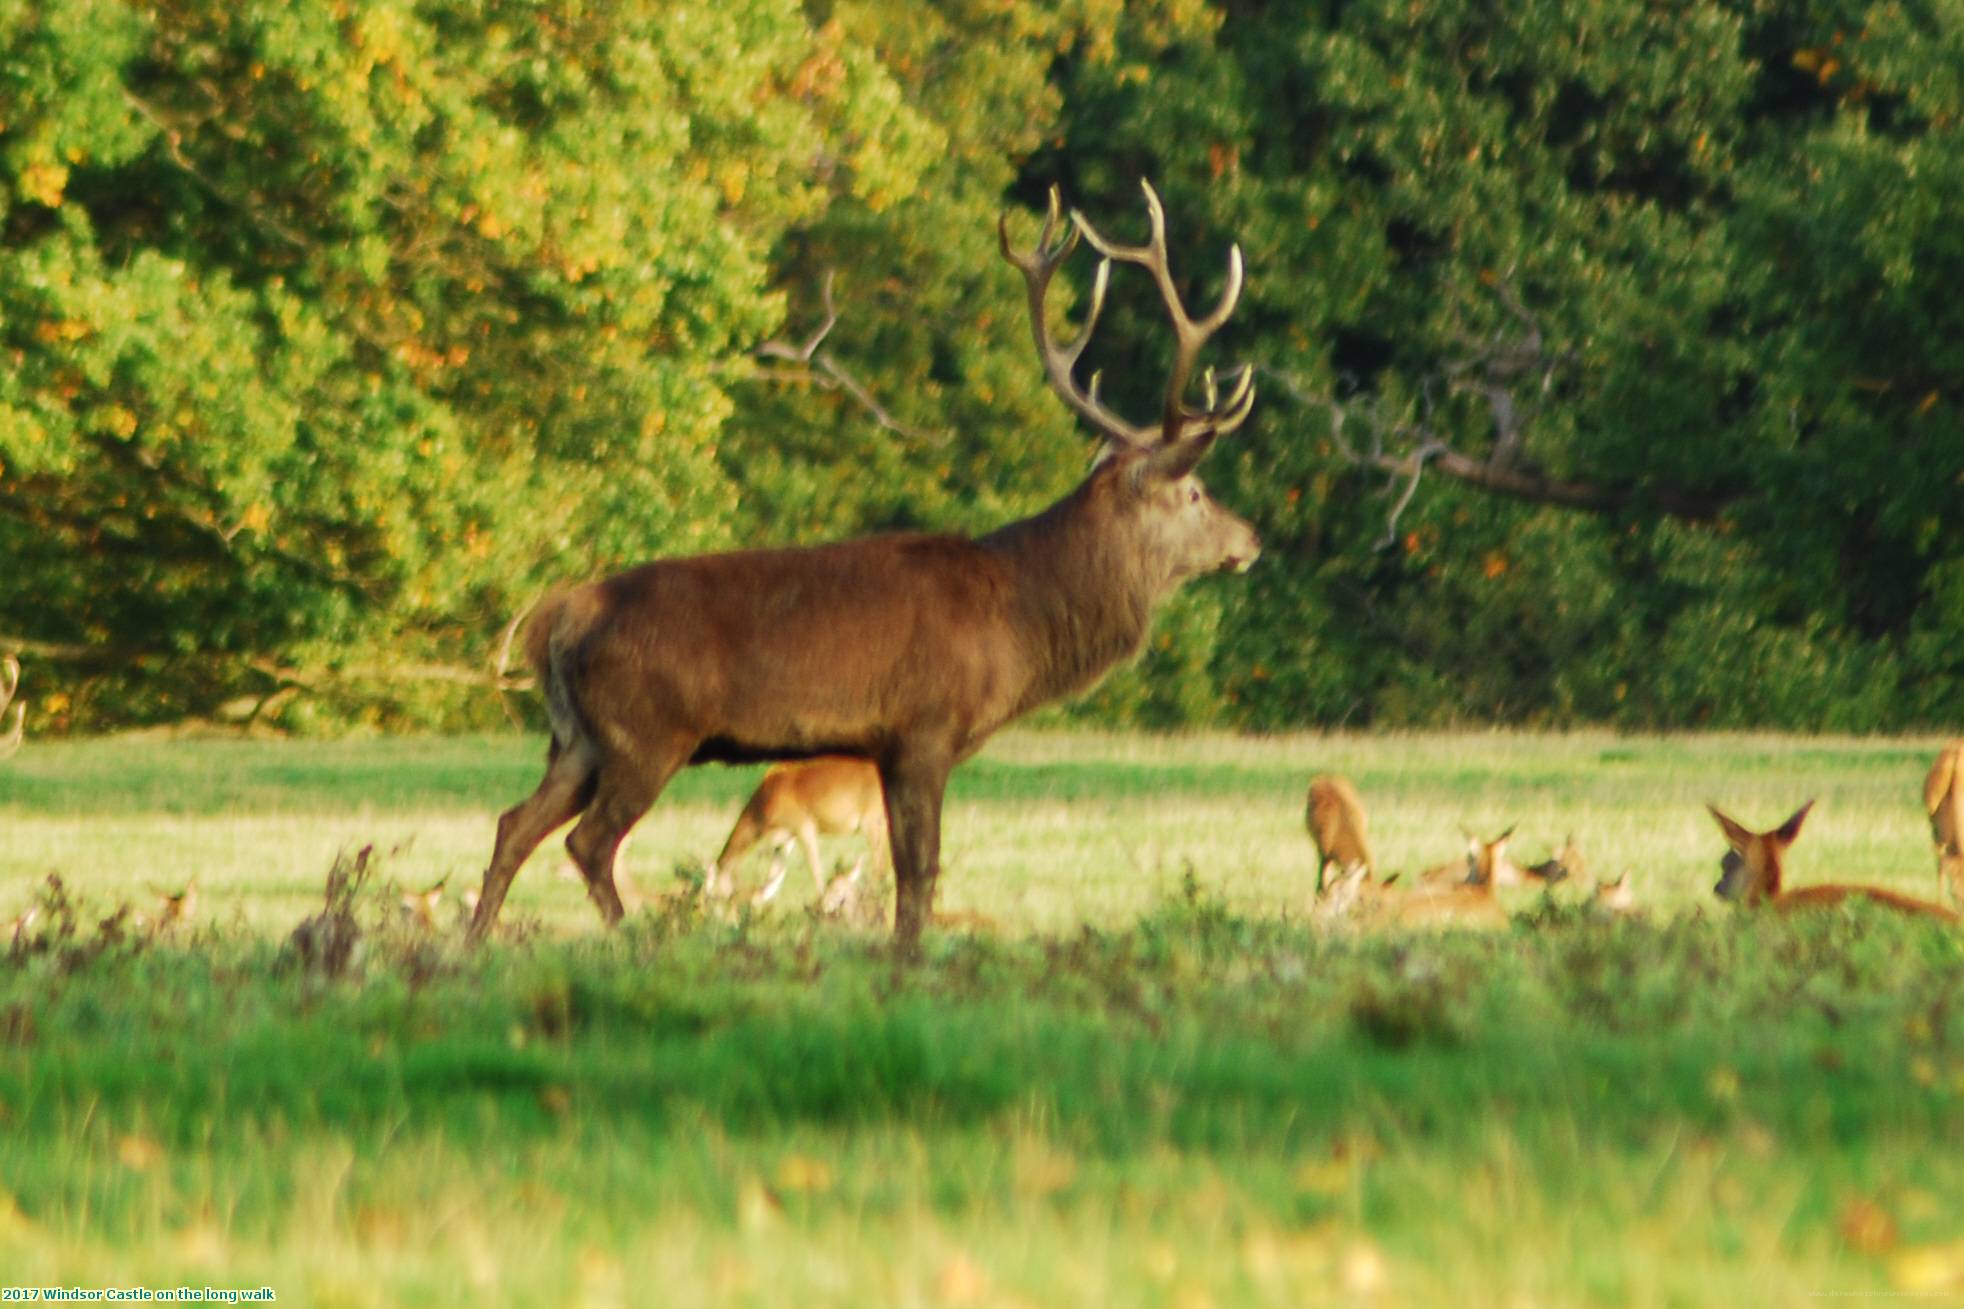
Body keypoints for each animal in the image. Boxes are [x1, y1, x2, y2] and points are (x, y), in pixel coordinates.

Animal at [710, 750, 887, 904]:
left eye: (712, 894)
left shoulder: (805, 829)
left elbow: (816, 873)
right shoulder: (785, 842)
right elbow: (773, 876)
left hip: (873, 827)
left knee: (879, 868)